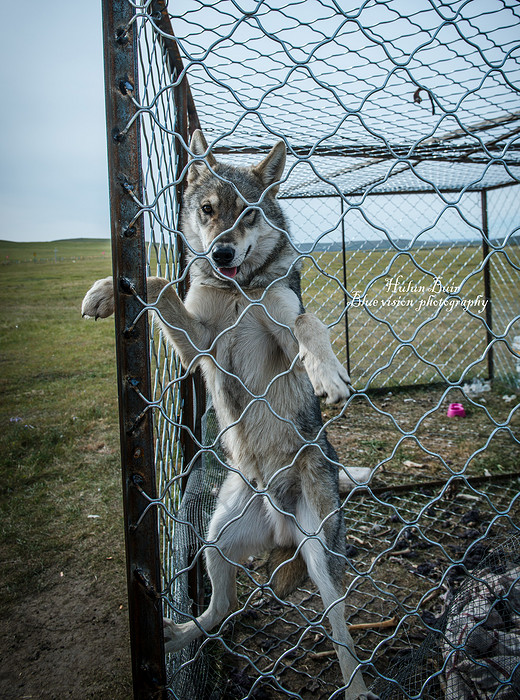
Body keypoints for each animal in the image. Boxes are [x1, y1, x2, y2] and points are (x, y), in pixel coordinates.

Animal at [83, 131, 380, 700]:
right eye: (208, 210)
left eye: (247, 214)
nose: (222, 250)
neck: (239, 289)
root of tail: (282, 529)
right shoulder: (198, 345)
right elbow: (155, 281)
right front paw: (108, 290)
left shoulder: (285, 328)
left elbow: (308, 322)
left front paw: (329, 375)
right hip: (216, 542)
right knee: (221, 609)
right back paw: (176, 635)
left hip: (321, 559)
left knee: (342, 634)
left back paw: (355, 688)